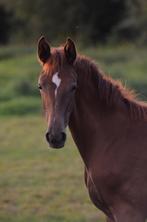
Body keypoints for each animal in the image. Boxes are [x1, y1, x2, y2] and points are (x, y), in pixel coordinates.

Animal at [37, 36, 147, 222]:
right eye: (40, 86)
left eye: (73, 86)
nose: (55, 137)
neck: (116, 138)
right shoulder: (110, 215)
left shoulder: (129, 213)